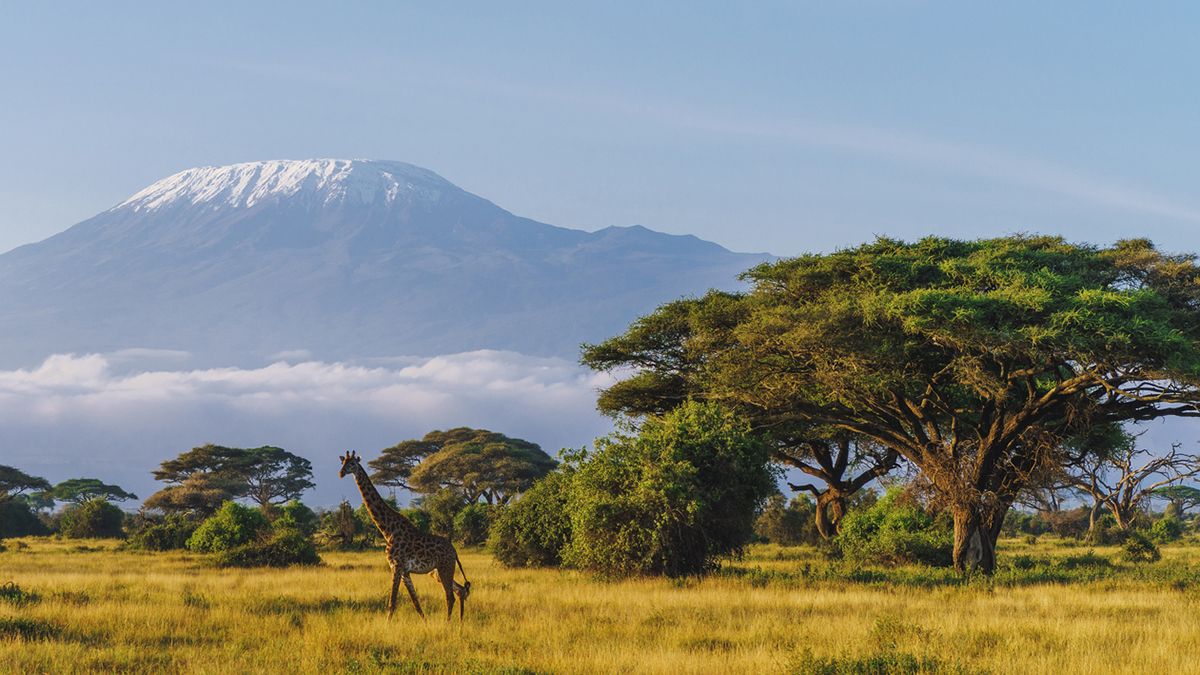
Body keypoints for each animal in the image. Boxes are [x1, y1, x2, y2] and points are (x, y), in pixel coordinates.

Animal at [338, 451, 471, 620]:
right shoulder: (405, 571)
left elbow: (392, 603)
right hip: (437, 572)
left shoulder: (396, 566)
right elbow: (416, 603)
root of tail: (454, 551)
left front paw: (387, 625)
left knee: (450, 596)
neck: (388, 529)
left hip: (444, 567)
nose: (341, 473)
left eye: (352, 464)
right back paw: (459, 622)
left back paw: (448, 623)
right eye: (342, 463)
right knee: (460, 590)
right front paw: (425, 623)